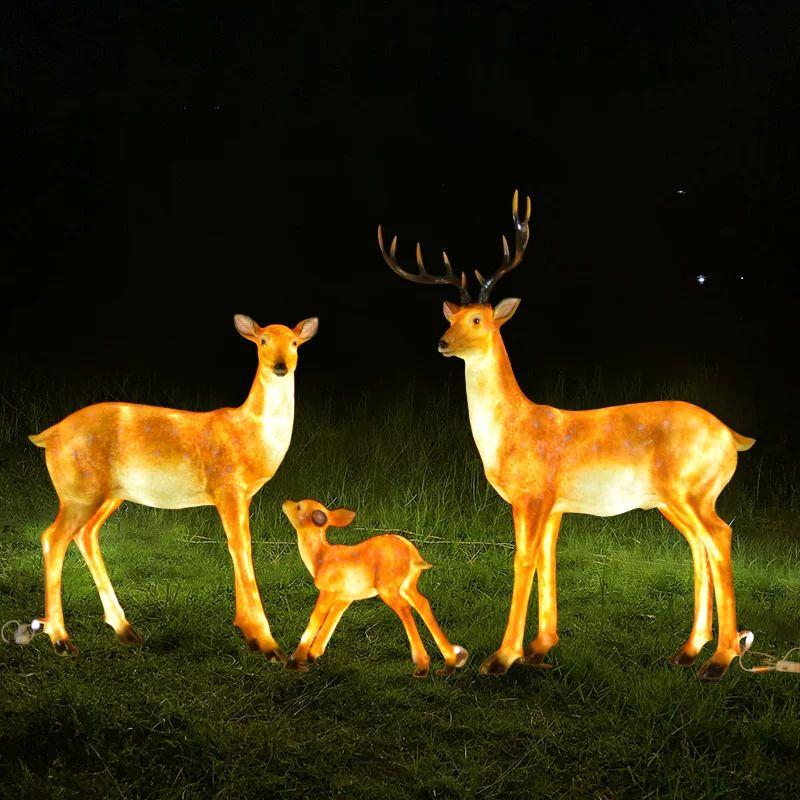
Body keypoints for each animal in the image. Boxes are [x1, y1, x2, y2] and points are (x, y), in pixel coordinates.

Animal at [28, 313, 318, 662]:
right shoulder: (228, 487)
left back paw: (125, 630)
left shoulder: (239, 494)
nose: (280, 366)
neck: (250, 434)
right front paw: (267, 643)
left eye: (294, 342)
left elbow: (236, 548)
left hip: (107, 495)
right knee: (53, 538)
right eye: (263, 340)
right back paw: (61, 639)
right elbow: (242, 548)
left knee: (85, 535)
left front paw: (248, 632)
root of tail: (48, 436)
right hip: (77, 492)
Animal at [281, 499, 469, 677]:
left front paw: (295, 660)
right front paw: (313, 654)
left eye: (299, 507)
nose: (285, 502)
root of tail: (414, 556)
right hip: (407, 585)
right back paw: (450, 663)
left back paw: (422, 666)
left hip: (388, 586)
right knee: (422, 603)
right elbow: (332, 618)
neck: (320, 558)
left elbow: (316, 617)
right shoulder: (345, 596)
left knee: (405, 609)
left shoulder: (328, 591)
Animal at [378, 191, 755, 680]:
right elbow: (547, 560)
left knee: (721, 539)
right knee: (700, 546)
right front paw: (540, 648)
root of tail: (733, 436)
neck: (512, 430)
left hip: (693, 490)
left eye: (479, 319)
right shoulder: (555, 505)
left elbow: (522, 560)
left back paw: (720, 659)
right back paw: (689, 651)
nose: (443, 342)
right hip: (675, 499)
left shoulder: (532, 495)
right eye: (453, 315)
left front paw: (501, 658)